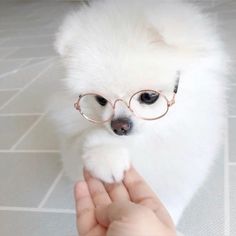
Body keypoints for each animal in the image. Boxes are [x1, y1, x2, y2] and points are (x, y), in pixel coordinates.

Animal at [51, 0, 227, 223]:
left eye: (149, 96)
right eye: (100, 100)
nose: (119, 126)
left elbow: (172, 201)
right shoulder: (70, 140)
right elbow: (85, 140)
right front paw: (106, 156)